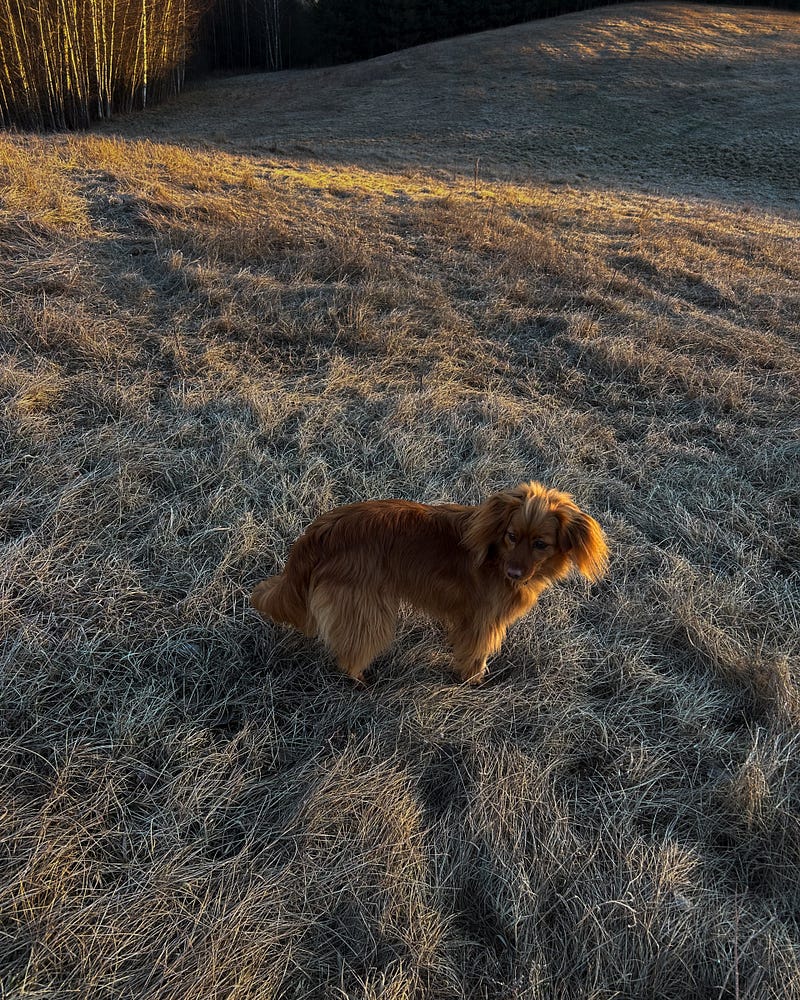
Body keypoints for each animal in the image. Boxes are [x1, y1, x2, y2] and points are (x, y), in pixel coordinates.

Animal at [250, 481, 608, 685]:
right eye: (511, 535)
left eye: (540, 544)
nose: (514, 574)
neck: (497, 557)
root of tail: (319, 532)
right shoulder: (482, 621)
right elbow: (476, 654)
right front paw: (475, 682)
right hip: (366, 608)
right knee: (352, 650)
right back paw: (362, 681)